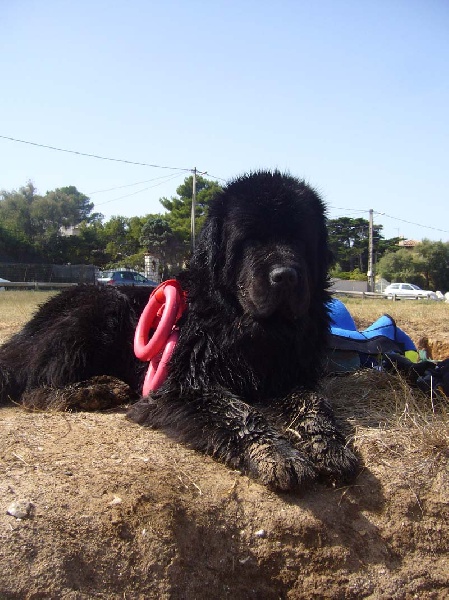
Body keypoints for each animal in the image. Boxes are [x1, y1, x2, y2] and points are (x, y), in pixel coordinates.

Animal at [0, 171, 356, 490]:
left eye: (300, 239)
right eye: (250, 240)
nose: (285, 275)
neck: (247, 327)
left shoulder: (295, 373)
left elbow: (314, 403)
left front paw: (329, 446)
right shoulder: (183, 385)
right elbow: (237, 413)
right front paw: (276, 454)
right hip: (101, 306)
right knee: (35, 386)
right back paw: (95, 390)